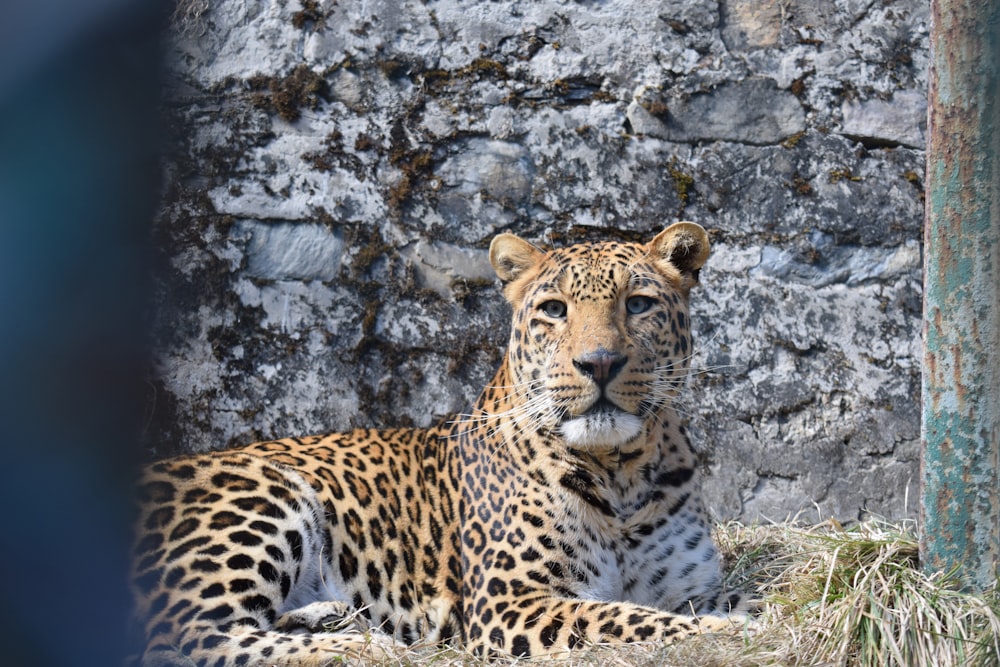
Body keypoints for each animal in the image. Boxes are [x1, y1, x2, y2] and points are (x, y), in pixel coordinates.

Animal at [131, 222, 744, 664]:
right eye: (554, 309)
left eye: (638, 304)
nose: (598, 363)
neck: (620, 471)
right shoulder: (511, 603)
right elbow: (626, 618)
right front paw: (725, 632)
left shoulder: (693, 584)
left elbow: (728, 598)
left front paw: (743, 614)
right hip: (262, 494)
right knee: (193, 639)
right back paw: (362, 646)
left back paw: (332, 616)